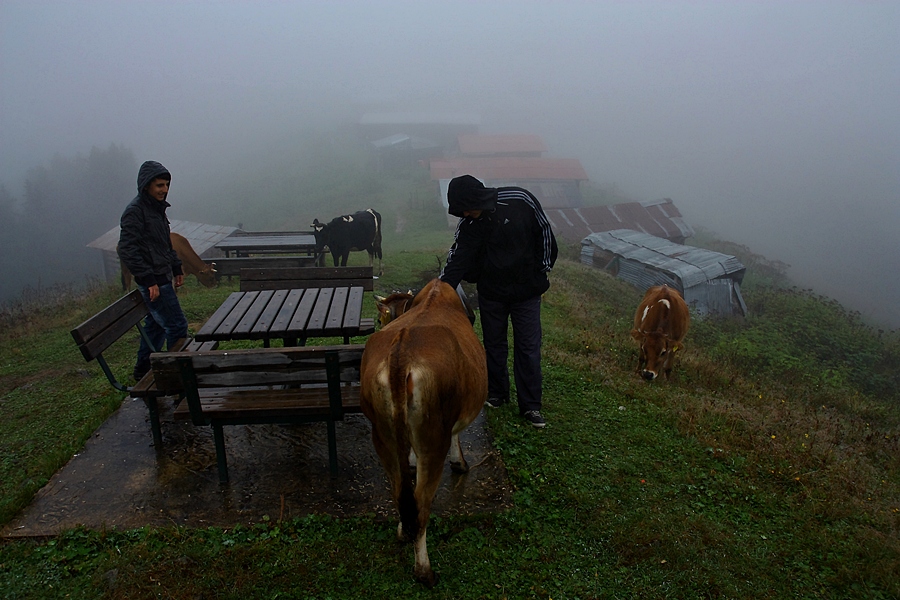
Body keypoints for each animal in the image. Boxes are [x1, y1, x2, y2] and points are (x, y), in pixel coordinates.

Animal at [358, 278, 486, 588]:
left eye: (380, 319)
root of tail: (401, 354)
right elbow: (456, 434)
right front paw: (459, 462)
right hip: (433, 439)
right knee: (421, 506)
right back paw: (424, 570)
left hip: (382, 434)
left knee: (401, 493)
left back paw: (403, 531)